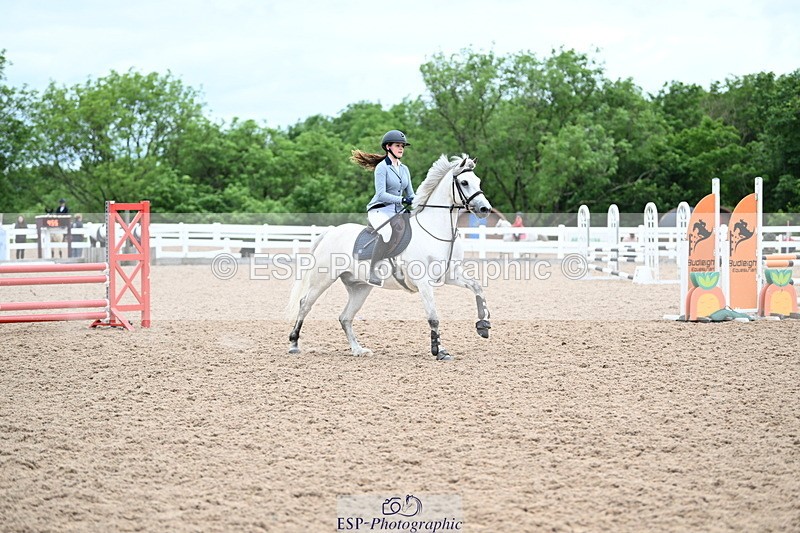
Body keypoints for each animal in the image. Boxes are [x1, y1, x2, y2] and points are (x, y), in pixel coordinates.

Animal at [286, 154, 493, 361]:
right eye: (464, 182)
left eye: (478, 181)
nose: (485, 209)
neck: (436, 231)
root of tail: (330, 232)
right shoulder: (424, 282)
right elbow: (433, 317)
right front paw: (440, 351)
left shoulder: (450, 275)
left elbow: (477, 287)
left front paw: (483, 326)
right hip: (323, 279)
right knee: (305, 305)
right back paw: (294, 344)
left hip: (360, 287)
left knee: (345, 317)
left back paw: (358, 350)